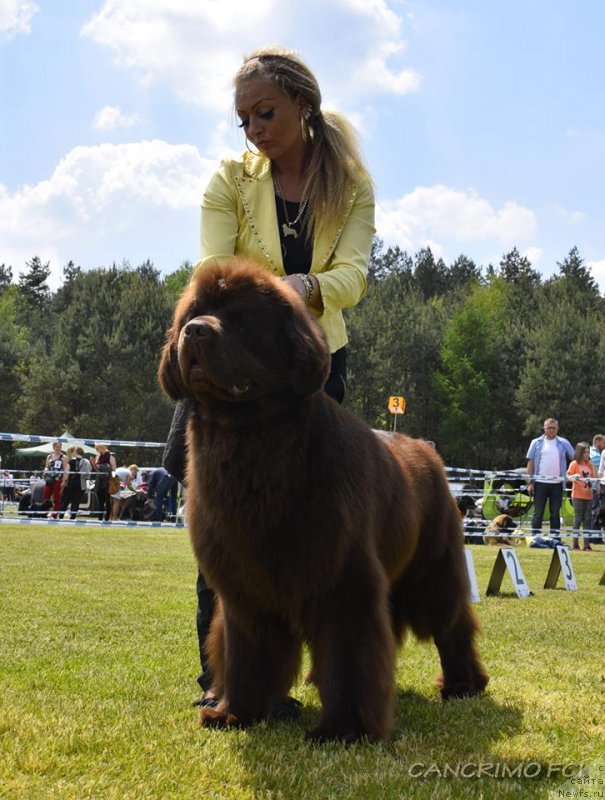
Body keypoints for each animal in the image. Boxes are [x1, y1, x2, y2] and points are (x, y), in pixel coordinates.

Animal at [159, 260, 486, 740]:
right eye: (193, 314)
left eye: (241, 320)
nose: (195, 332)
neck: (248, 440)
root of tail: (427, 448)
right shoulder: (242, 583)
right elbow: (244, 651)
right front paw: (235, 712)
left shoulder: (343, 577)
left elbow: (350, 655)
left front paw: (345, 728)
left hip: (432, 569)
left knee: (452, 622)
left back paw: (464, 685)